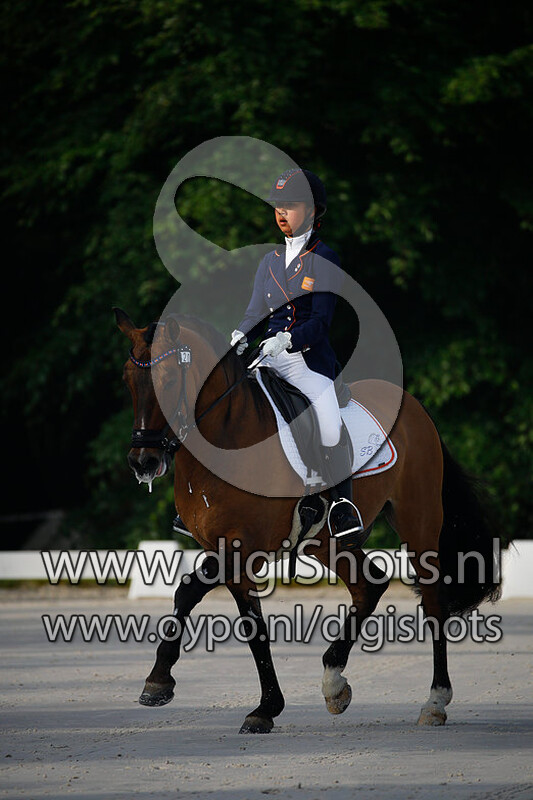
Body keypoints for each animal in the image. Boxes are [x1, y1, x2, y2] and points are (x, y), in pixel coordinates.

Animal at [114, 307, 500, 734]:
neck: (228, 437)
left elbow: (189, 590)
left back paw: (434, 701)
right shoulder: (228, 551)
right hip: (326, 542)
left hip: (419, 522)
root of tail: (416, 408)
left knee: (433, 601)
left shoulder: (245, 546)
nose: (143, 462)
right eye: (128, 381)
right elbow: (251, 625)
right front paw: (265, 707)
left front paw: (159, 681)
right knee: (370, 585)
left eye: (167, 381)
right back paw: (334, 682)